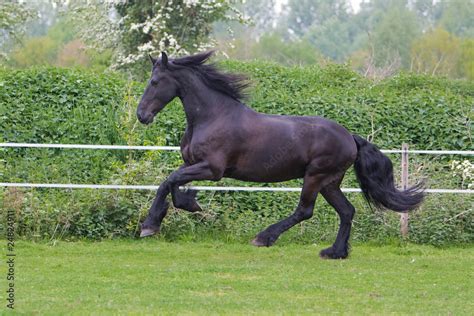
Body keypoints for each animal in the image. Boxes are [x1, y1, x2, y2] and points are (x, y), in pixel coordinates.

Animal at [135, 51, 424, 260]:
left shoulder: (212, 169)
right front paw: (188, 204)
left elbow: (168, 181)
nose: (141, 115)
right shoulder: (192, 164)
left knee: (305, 211)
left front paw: (149, 225)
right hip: (330, 182)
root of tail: (350, 137)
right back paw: (334, 252)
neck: (212, 116)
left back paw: (264, 238)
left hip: (316, 176)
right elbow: (173, 185)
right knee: (346, 211)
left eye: (154, 82)